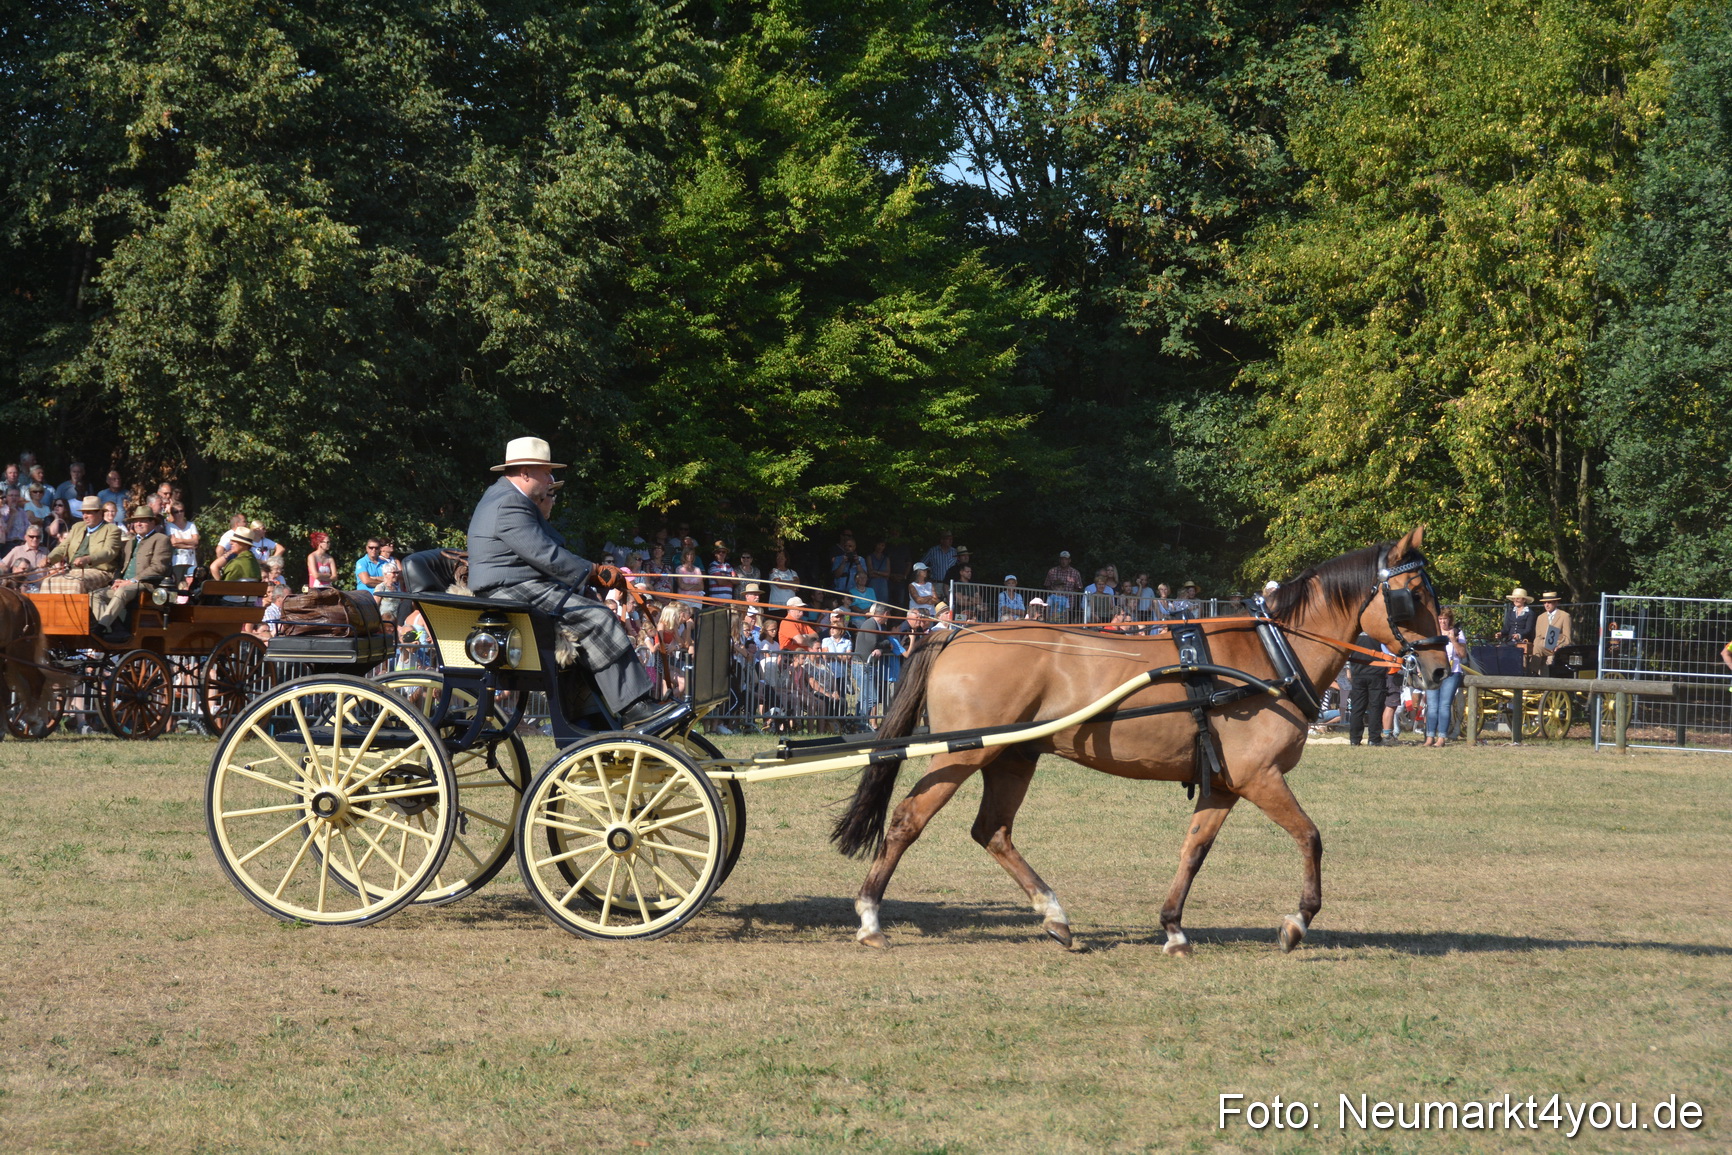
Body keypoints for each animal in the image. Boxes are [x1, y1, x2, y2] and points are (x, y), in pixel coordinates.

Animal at [830, 527, 1449, 955]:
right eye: (1413, 594)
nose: (1441, 668)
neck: (1272, 655)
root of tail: (957, 630)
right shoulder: (1260, 777)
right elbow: (1311, 837)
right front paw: (1297, 923)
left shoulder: (1226, 784)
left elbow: (1194, 850)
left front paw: (1173, 927)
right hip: (967, 752)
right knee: (908, 820)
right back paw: (870, 918)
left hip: (1014, 757)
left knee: (993, 832)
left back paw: (1054, 916)